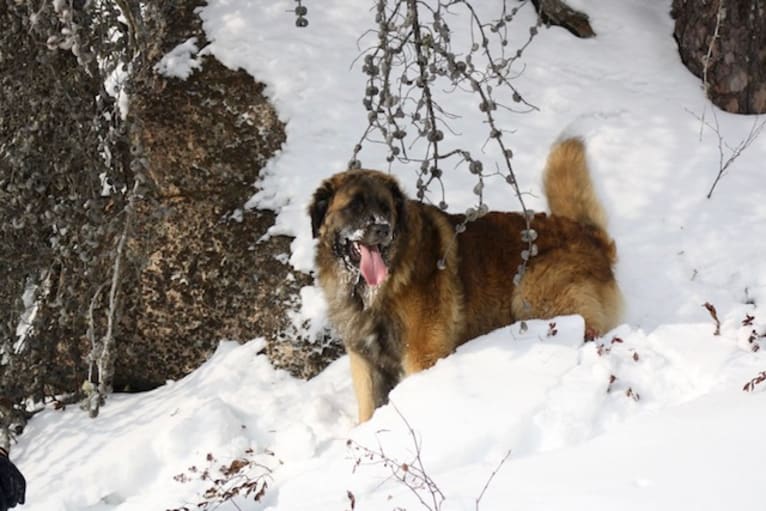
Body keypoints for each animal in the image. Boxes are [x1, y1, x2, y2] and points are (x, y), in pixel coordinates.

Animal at [308, 138, 620, 422]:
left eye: (385, 208)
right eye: (355, 207)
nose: (382, 229)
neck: (379, 288)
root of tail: (588, 234)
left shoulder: (423, 354)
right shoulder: (366, 361)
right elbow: (368, 409)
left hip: (534, 294)